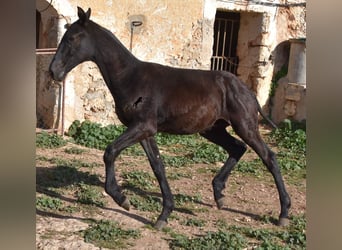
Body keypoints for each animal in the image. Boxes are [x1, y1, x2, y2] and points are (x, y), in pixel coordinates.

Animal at [50, 7, 292, 230]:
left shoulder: (143, 126)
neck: (130, 77)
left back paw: (283, 212)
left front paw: (122, 199)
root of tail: (247, 90)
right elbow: (158, 166)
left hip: (245, 126)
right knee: (237, 148)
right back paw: (219, 194)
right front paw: (164, 214)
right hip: (213, 129)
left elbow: (110, 152)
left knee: (269, 157)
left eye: (72, 38)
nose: (53, 71)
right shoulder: (145, 131)